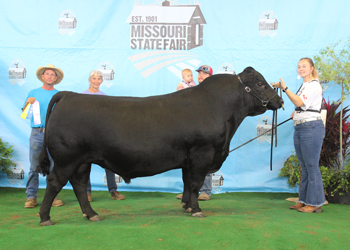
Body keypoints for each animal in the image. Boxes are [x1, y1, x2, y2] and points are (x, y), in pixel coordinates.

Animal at [37, 67, 284, 226]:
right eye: (260, 84)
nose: (279, 101)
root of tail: (69, 95)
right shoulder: (202, 153)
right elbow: (195, 183)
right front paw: (196, 210)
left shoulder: (188, 159)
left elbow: (187, 183)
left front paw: (186, 206)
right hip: (66, 159)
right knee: (55, 183)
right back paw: (45, 217)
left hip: (81, 161)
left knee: (79, 185)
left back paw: (91, 214)